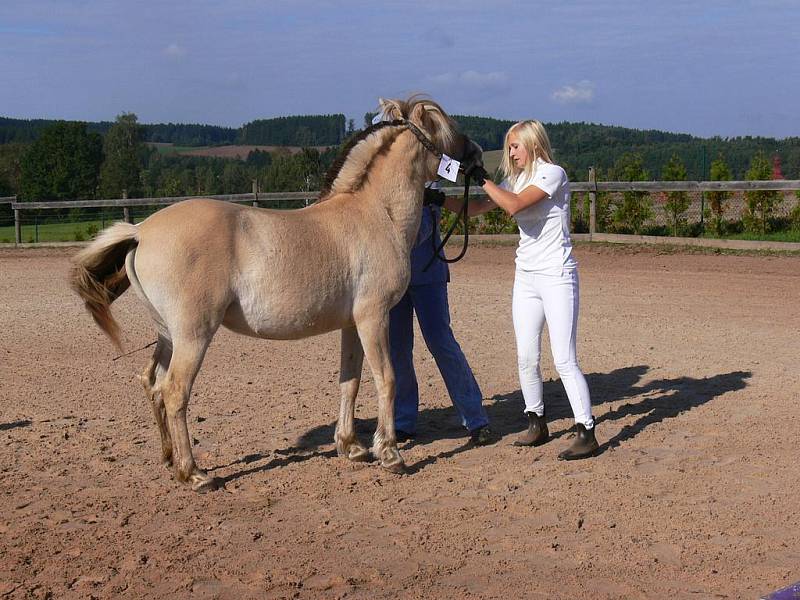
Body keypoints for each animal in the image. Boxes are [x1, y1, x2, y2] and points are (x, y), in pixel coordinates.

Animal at [70, 96, 482, 492]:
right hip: (193, 335)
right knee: (174, 392)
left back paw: (171, 461)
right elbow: (387, 379)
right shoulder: (373, 317)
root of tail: (140, 231)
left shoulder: (352, 324)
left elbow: (350, 380)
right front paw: (390, 454)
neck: (377, 213)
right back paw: (195, 474)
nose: (478, 157)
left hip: (168, 335)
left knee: (152, 384)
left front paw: (351, 446)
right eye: (448, 129)